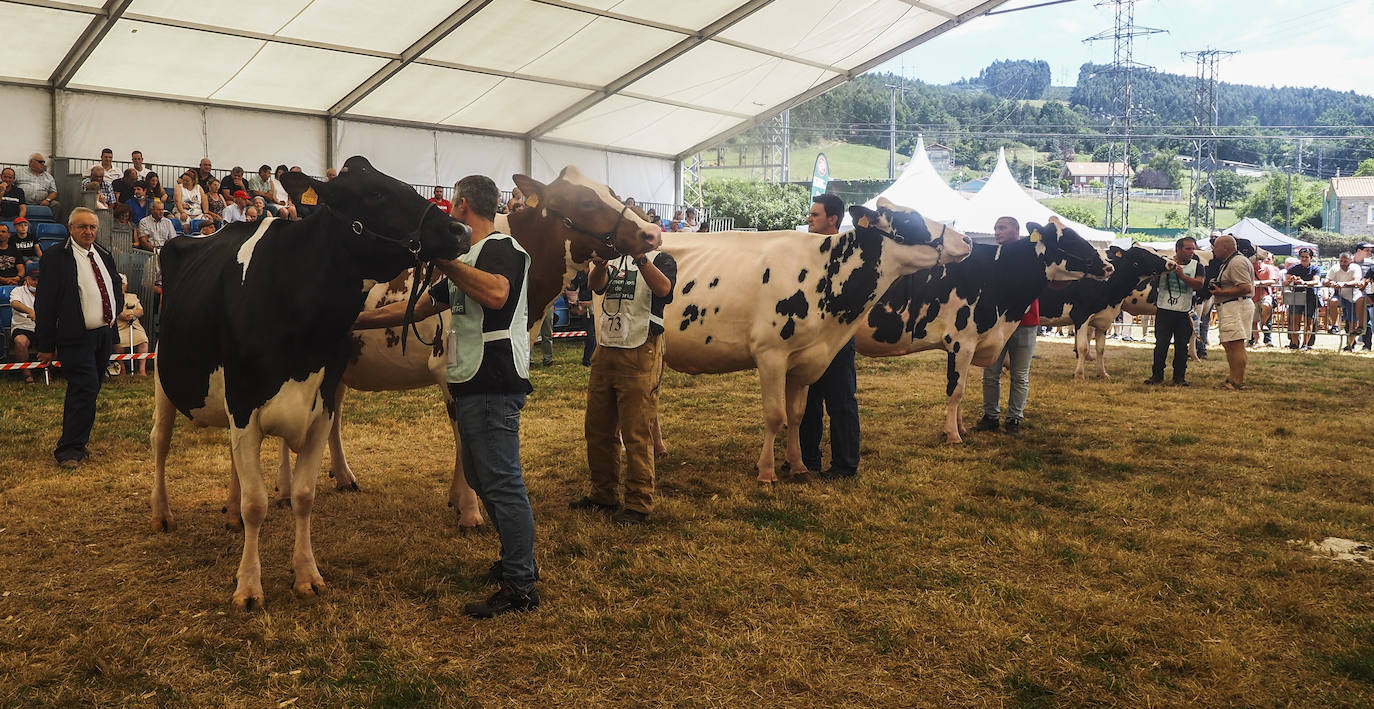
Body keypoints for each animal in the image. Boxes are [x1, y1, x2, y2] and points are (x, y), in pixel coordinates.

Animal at [149, 155, 469, 610]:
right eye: (376, 193)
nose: (459, 230)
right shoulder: (244, 406)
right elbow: (257, 503)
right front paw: (248, 586)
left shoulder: (319, 409)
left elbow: (303, 496)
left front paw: (306, 575)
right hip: (164, 374)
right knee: (160, 442)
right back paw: (161, 514)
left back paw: (229, 512)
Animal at [659, 199, 972, 486]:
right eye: (910, 218)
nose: (967, 240)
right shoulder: (770, 354)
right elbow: (775, 415)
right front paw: (766, 472)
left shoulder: (806, 360)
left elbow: (797, 415)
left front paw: (798, 466)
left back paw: (659, 449)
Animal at [851, 221, 1110, 442]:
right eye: (1069, 239)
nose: (1109, 266)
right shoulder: (961, 343)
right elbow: (956, 390)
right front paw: (952, 435)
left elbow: (961, 387)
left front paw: (960, 427)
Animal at [1038, 243, 1170, 376]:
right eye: (1143, 254)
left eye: (1154, 251)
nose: (1171, 263)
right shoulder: (1081, 316)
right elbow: (1083, 347)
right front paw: (1079, 374)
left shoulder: (1103, 319)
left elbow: (1100, 349)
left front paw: (1102, 373)